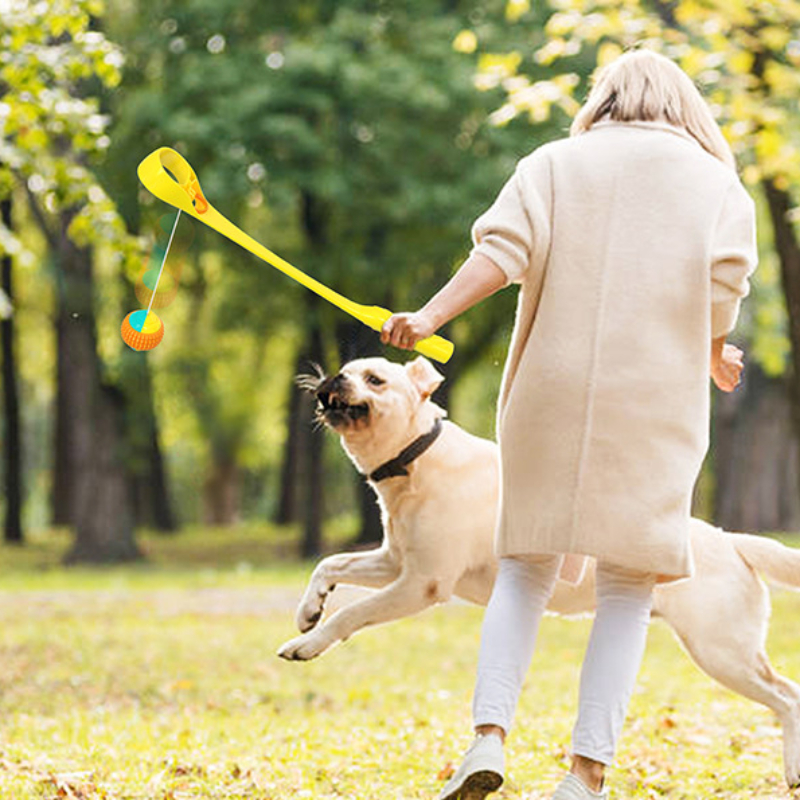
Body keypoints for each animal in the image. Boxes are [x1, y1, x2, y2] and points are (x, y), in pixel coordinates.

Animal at [278, 356, 800, 788]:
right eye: (347, 369)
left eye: (374, 379)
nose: (333, 377)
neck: (416, 459)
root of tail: (733, 541)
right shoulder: (395, 561)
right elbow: (331, 564)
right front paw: (308, 610)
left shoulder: (421, 584)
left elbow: (351, 614)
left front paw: (310, 643)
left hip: (722, 652)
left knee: (787, 695)